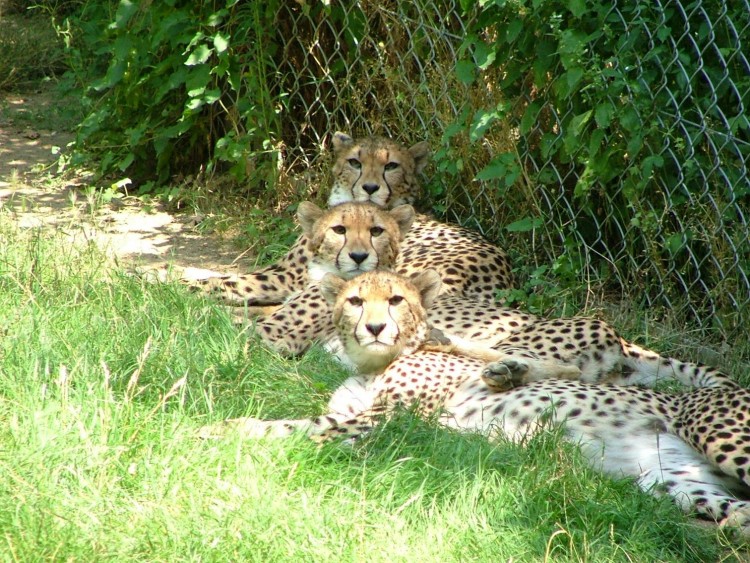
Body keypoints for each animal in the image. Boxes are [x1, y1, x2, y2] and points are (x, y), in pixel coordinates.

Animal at [181, 131, 516, 308]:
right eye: (355, 162)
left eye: (391, 166)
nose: (369, 187)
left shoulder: (286, 275)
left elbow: (227, 280)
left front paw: (177, 287)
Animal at [203, 270, 750, 536]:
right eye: (355, 301)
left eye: (397, 300)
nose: (375, 327)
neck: (373, 361)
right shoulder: (352, 412)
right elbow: (291, 422)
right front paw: (218, 428)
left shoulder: (381, 420)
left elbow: (304, 430)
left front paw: (217, 438)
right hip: (670, 480)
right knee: (734, 506)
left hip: (711, 428)